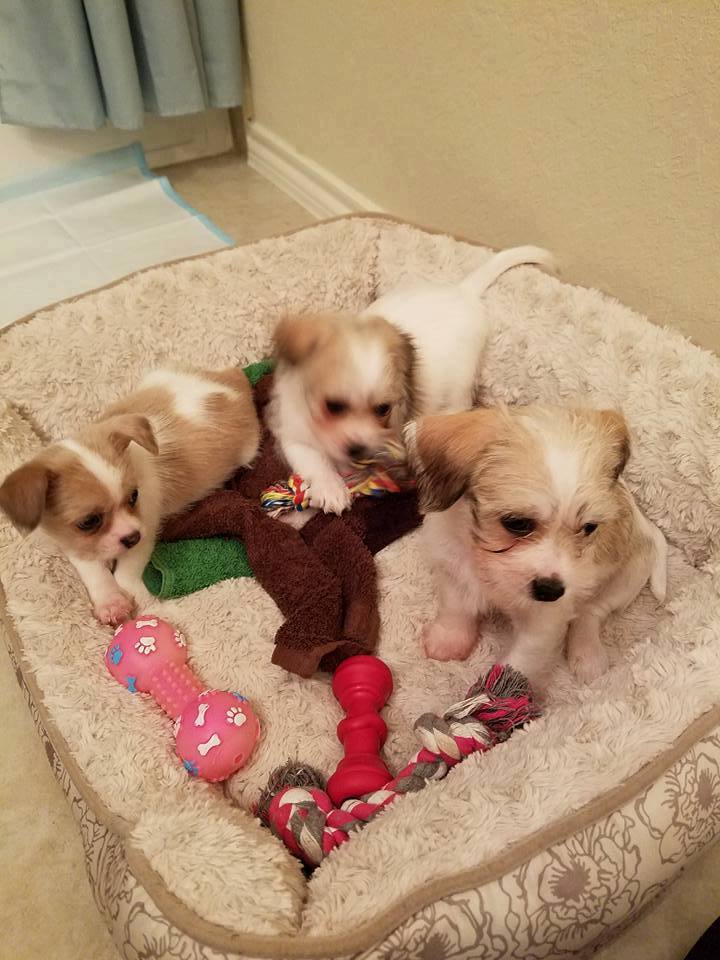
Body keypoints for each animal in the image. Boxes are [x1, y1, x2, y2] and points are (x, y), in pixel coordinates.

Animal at [0, 370, 258, 632]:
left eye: (134, 496)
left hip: (248, 450)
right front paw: (110, 601)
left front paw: (136, 598)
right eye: (89, 522)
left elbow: (126, 570)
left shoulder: (146, 526)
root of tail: (229, 378)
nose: (132, 537)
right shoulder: (74, 543)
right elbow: (93, 569)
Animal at [268, 248, 556, 516]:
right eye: (333, 405)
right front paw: (331, 487)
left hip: (460, 384)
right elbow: (314, 459)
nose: (358, 450)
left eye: (383, 409)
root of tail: (463, 291)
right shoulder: (293, 433)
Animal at [404, 404, 668, 688]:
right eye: (516, 523)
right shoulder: (454, 568)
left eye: (589, 528)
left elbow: (521, 662)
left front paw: (495, 694)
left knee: (591, 612)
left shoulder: (543, 622)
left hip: (625, 578)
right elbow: (455, 608)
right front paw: (448, 640)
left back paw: (587, 655)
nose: (551, 590)